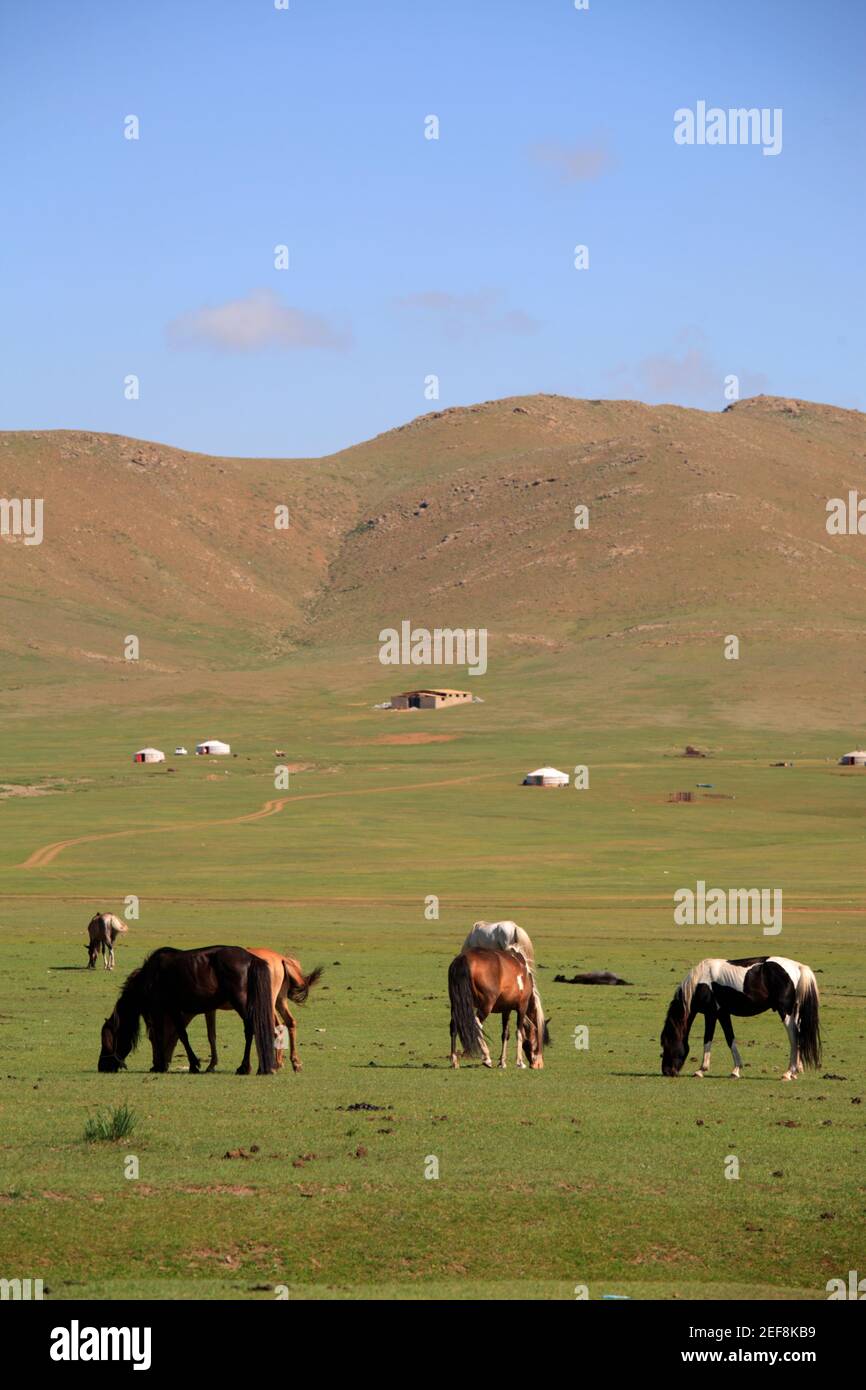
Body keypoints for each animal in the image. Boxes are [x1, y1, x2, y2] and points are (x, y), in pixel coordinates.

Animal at [98, 945, 276, 1075]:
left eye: (106, 1040)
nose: (102, 1066)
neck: (150, 977)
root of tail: (251, 959)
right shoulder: (173, 1010)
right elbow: (180, 1035)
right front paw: (189, 1064)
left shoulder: (159, 1011)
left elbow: (163, 1035)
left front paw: (163, 1065)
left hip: (240, 1003)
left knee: (251, 1029)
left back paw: (244, 1067)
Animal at [660, 956, 821, 1081]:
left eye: (667, 1043)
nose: (667, 1072)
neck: (700, 982)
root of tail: (799, 967)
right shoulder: (723, 1014)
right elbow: (730, 1038)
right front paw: (736, 1070)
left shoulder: (711, 1014)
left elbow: (707, 1039)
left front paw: (701, 1070)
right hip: (795, 1012)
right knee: (799, 1036)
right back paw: (795, 1071)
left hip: (785, 1012)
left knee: (794, 1037)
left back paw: (788, 1073)